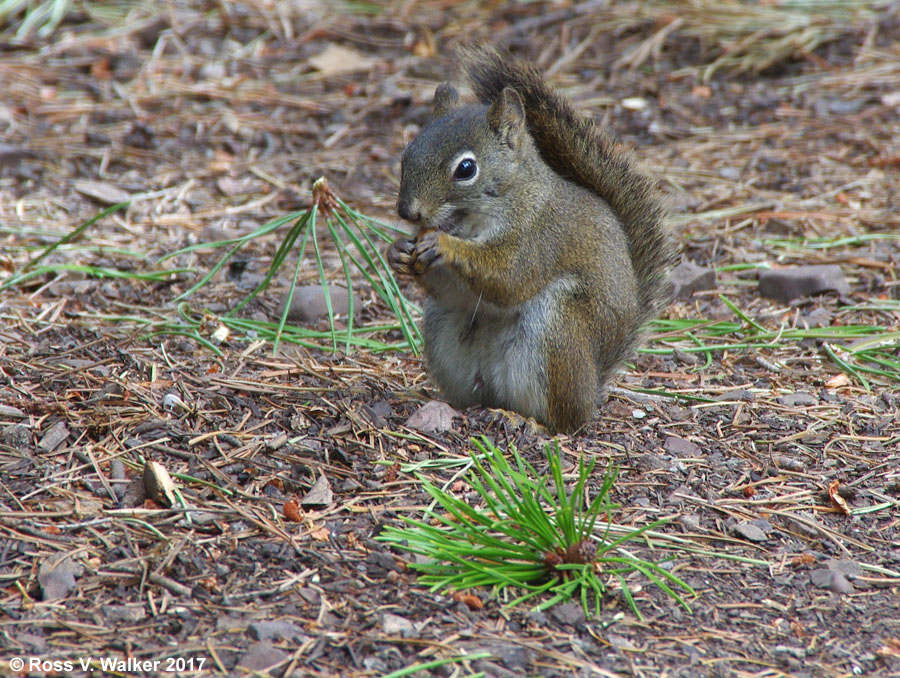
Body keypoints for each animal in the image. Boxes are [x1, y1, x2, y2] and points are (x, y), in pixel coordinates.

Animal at [386, 45, 676, 432]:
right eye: (407, 155)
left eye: (466, 169)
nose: (408, 212)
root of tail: (594, 381)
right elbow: (450, 288)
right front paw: (399, 252)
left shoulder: (540, 238)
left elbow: (510, 278)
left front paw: (445, 247)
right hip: (444, 331)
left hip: (558, 328)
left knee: (565, 420)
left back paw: (526, 421)